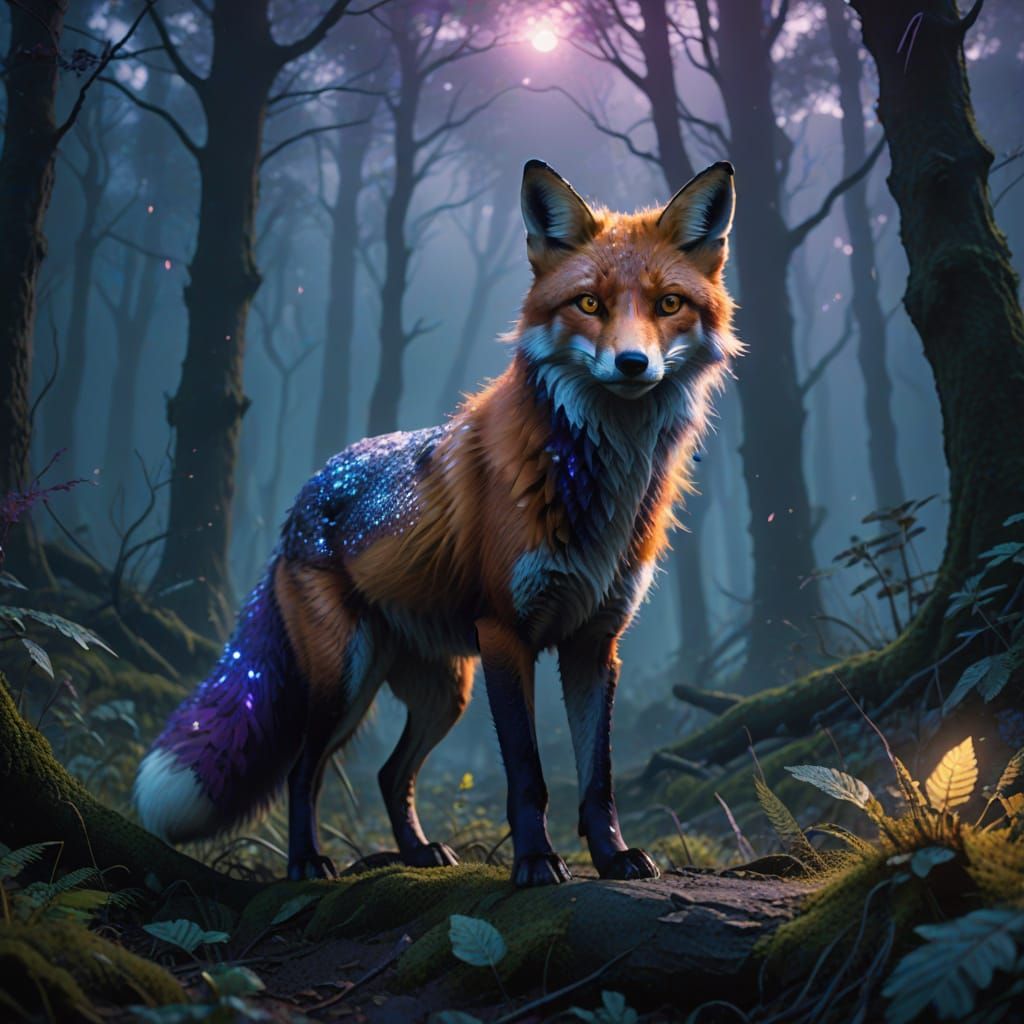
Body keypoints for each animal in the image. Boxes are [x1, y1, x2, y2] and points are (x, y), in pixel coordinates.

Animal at [135, 159, 740, 887]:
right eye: (589, 305)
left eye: (668, 305)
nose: (631, 364)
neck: (596, 490)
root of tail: (303, 498)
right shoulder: (507, 633)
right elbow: (528, 776)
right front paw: (535, 862)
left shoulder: (595, 643)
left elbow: (599, 777)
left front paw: (613, 856)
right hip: (346, 679)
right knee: (303, 771)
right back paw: (308, 861)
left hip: (444, 690)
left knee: (391, 774)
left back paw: (419, 852)